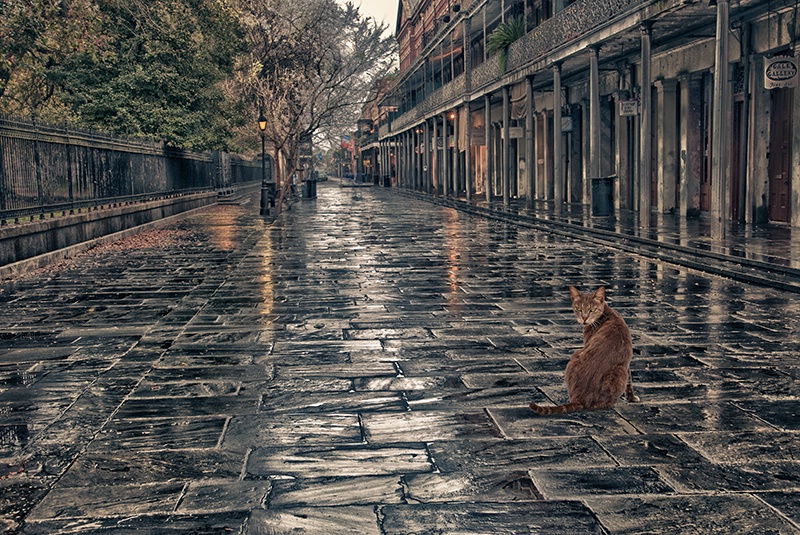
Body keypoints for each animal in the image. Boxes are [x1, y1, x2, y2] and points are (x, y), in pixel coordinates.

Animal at [532, 286, 636, 416]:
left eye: (592, 309)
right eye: (579, 309)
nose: (584, 318)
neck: (606, 313)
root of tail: (580, 399)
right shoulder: (627, 361)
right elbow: (630, 380)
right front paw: (632, 398)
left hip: (576, 355)